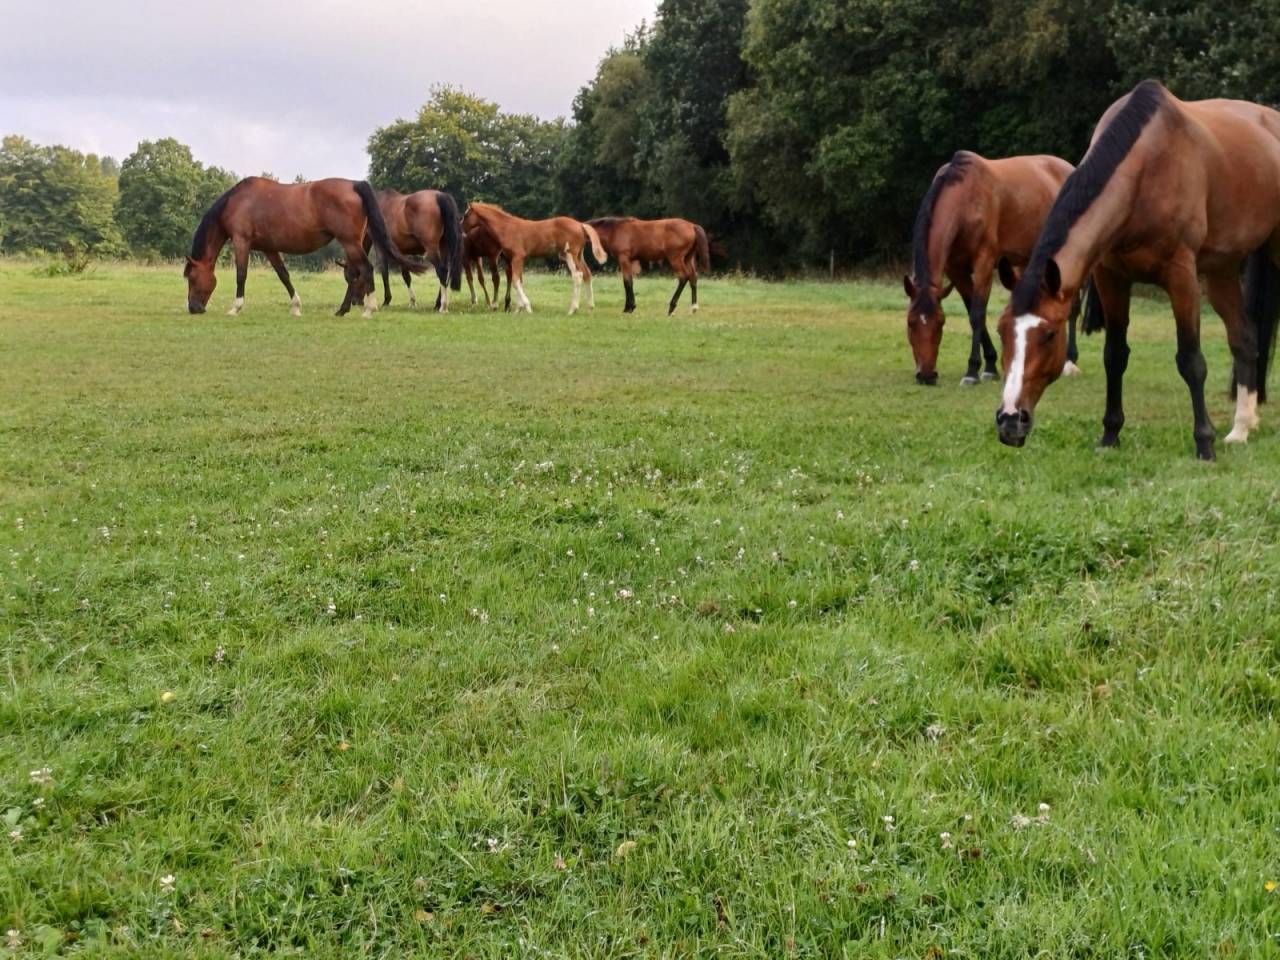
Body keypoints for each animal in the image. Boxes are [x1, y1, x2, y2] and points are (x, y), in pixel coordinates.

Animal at [185, 177, 424, 319]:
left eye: (192, 278)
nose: (194, 308)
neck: (238, 202)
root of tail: (354, 184)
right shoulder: (269, 248)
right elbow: (284, 275)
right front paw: (296, 306)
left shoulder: (241, 241)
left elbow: (241, 275)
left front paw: (235, 307)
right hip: (352, 244)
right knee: (355, 273)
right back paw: (342, 310)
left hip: (350, 242)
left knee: (365, 270)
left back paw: (368, 309)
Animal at [460, 203, 606, 314]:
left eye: (466, 215)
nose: (461, 230)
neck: (507, 228)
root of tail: (581, 225)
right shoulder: (516, 259)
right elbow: (518, 280)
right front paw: (518, 309)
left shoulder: (517, 257)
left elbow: (515, 281)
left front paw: (527, 307)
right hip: (579, 255)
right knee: (587, 274)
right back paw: (590, 307)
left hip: (570, 254)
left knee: (578, 276)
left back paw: (572, 309)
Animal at [904, 152, 1083, 386]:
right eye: (910, 323)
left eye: (941, 322)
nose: (926, 375)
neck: (965, 198)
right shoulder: (956, 270)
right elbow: (972, 311)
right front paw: (990, 365)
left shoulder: (985, 262)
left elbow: (977, 314)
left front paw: (973, 371)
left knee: (1073, 307)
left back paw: (1069, 361)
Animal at [995, 79, 1280, 460]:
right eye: (1001, 331)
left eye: (1050, 334)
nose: (1011, 420)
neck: (1146, 169)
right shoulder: (1111, 277)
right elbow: (1114, 356)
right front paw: (1110, 435)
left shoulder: (1181, 276)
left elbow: (1191, 360)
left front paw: (1204, 442)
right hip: (1222, 270)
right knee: (1244, 340)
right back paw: (1241, 429)